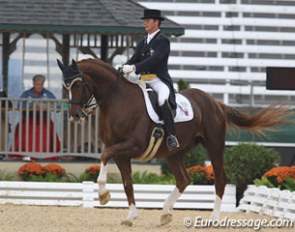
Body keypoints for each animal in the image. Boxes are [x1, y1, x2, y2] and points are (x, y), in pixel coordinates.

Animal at [57, 58, 292, 227]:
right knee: (184, 179)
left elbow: (105, 156)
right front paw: (130, 216)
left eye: (78, 84)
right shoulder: (122, 152)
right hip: (174, 153)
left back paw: (214, 218)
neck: (118, 101)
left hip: (214, 146)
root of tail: (215, 102)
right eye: (65, 86)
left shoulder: (132, 145)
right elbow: (127, 183)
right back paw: (165, 213)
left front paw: (103, 195)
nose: (75, 115)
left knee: (220, 179)